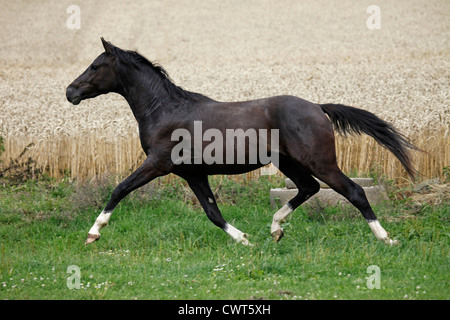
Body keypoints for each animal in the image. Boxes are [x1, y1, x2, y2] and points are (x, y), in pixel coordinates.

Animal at [65, 38, 416, 246]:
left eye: (96, 65)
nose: (70, 92)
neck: (164, 109)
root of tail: (318, 107)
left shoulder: (158, 164)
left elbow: (120, 189)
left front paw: (93, 232)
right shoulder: (193, 173)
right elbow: (212, 212)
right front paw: (244, 239)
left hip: (320, 162)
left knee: (353, 192)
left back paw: (386, 238)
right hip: (289, 163)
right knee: (308, 188)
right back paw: (275, 228)